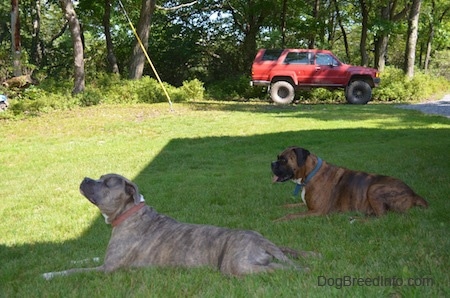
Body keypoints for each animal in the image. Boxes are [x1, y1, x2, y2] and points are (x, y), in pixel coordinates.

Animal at [44, 173, 314, 278]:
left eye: (107, 183)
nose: (85, 179)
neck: (130, 212)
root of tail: (262, 242)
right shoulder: (106, 259)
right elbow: (82, 260)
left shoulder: (107, 269)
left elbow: (74, 270)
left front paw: (49, 274)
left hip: (237, 265)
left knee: (279, 269)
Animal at [270, 147, 428, 221]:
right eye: (277, 157)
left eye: (283, 160)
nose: (272, 163)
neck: (310, 174)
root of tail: (413, 194)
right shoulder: (307, 206)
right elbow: (286, 206)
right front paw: (273, 209)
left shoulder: (317, 211)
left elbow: (290, 215)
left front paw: (277, 220)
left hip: (374, 188)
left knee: (382, 218)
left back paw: (356, 219)